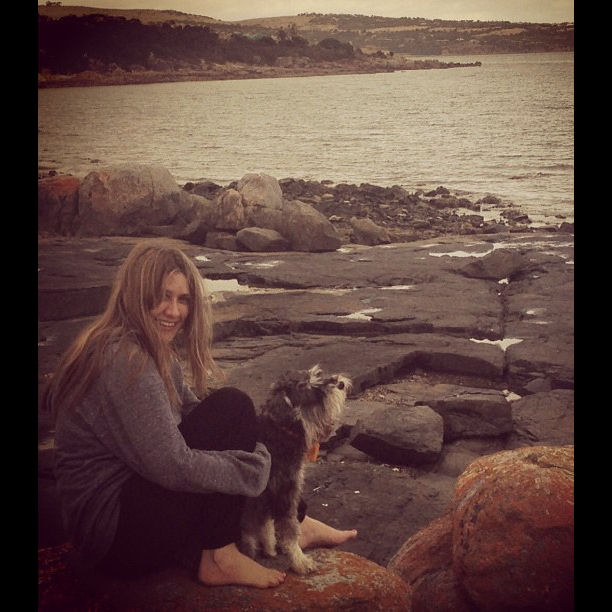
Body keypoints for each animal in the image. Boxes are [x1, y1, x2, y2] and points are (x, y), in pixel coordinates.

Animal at [240, 364, 351, 574]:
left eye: (316, 374)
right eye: (305, 387)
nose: (339, 383)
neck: (281, 431)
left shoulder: (269, 497)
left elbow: (267, 524)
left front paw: (270, 547)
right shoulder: (285, 491)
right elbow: (290, 530)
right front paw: (300, 561)